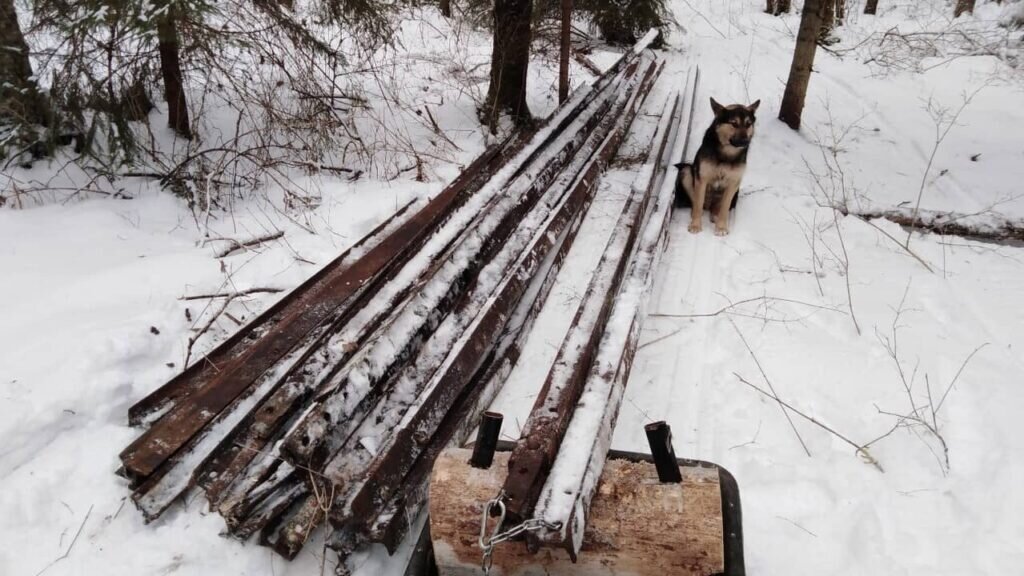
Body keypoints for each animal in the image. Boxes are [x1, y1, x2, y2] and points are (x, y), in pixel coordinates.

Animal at [675, 97, 757, 234]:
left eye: (748, 124)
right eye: (733, 123)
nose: (746, 142)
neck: (726, 154)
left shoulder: (733, 182)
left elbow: (724, 208)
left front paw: (721, 227)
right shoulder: (702, 179)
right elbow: (698, 204)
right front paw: (695, 225)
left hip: (736, 190)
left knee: (718, 207)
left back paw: (715, 214)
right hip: (686, 172)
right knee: (697, 204)